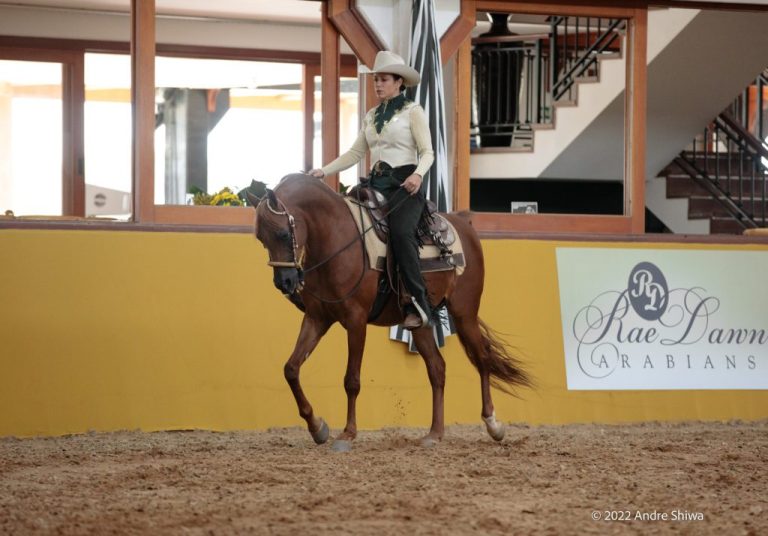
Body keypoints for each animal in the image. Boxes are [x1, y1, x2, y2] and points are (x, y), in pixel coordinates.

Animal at [249, 173, 530, 450]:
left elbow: (351, 380)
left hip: (464, 313)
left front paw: (347, 434)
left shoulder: (356, 320)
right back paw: (434, 433)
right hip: (421, 322)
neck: (337, 237)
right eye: (261, 239)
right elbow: (291, 369)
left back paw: (493, 425)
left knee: (482, 358)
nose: (284, 283)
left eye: (283, 234)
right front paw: (318, 427)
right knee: (437, 368)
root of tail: (463, 222)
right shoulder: (317, 318)